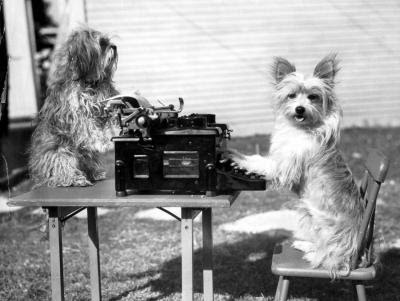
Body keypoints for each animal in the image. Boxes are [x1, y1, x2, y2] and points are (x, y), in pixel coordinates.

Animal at [29, 28, 119, 186]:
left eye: (108, 41)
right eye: (102, 43)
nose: (114, 47)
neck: (89, 83)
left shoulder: (103, 104)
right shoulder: (73, 112)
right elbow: (87, 127)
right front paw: (100, 141)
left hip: (85, 157)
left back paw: (94, 173)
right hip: (61, 153)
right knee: (62, 172)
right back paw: (77, 179)